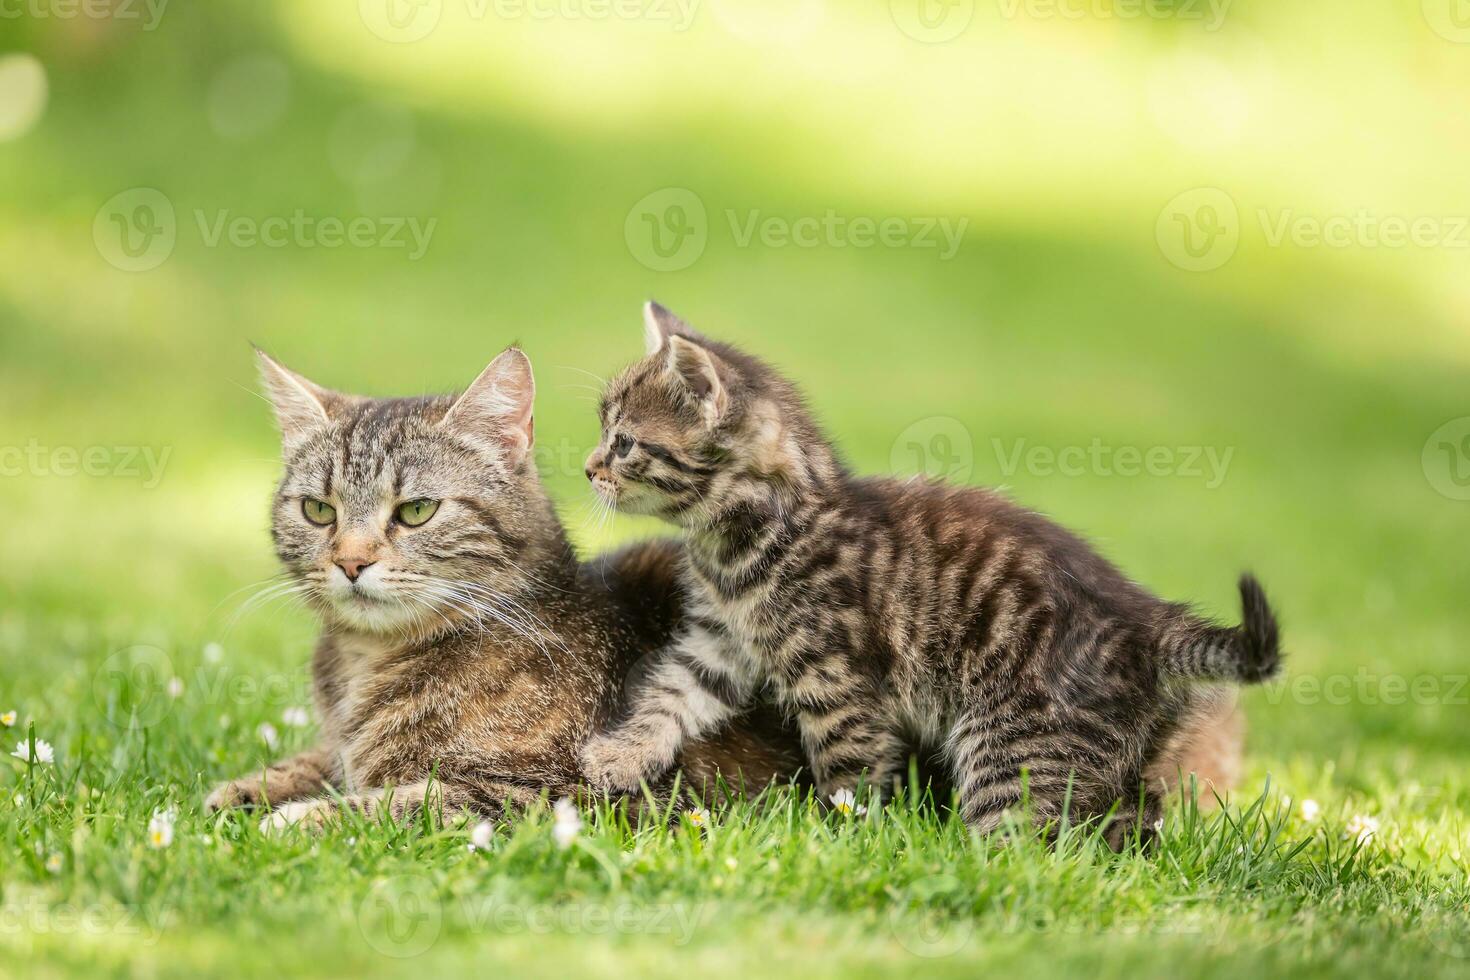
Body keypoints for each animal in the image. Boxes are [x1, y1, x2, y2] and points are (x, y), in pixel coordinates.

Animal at [204, 345, 805, 828]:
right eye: (318, 510)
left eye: (416, 511)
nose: (351, 562)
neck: (365, 659)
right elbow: (322, 759)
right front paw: (248, 788)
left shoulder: (581, 793)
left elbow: (408, 800)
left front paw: (295, 817)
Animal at [573, 302, 1275, 846]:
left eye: (624, 442)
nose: (587, 468)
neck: (748, 539)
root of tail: (1146, 622)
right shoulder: (719, 644)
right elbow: (670, 694)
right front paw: (620, 754)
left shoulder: (836, 679)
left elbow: (848, 773)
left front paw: (838, 841)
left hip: (1016, 743)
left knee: (1027, 845)